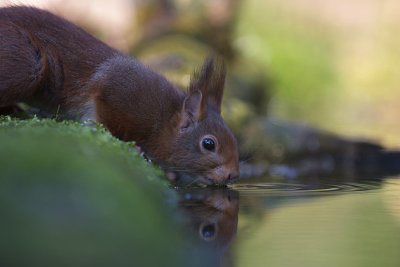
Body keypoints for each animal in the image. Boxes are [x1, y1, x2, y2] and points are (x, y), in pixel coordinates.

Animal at [0, 6, 239, 186]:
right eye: (209, 144)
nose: (233, 175)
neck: (163, 120)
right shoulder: (119, 90)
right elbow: (103, 116)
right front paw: (131, 146)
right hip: (26, 65)